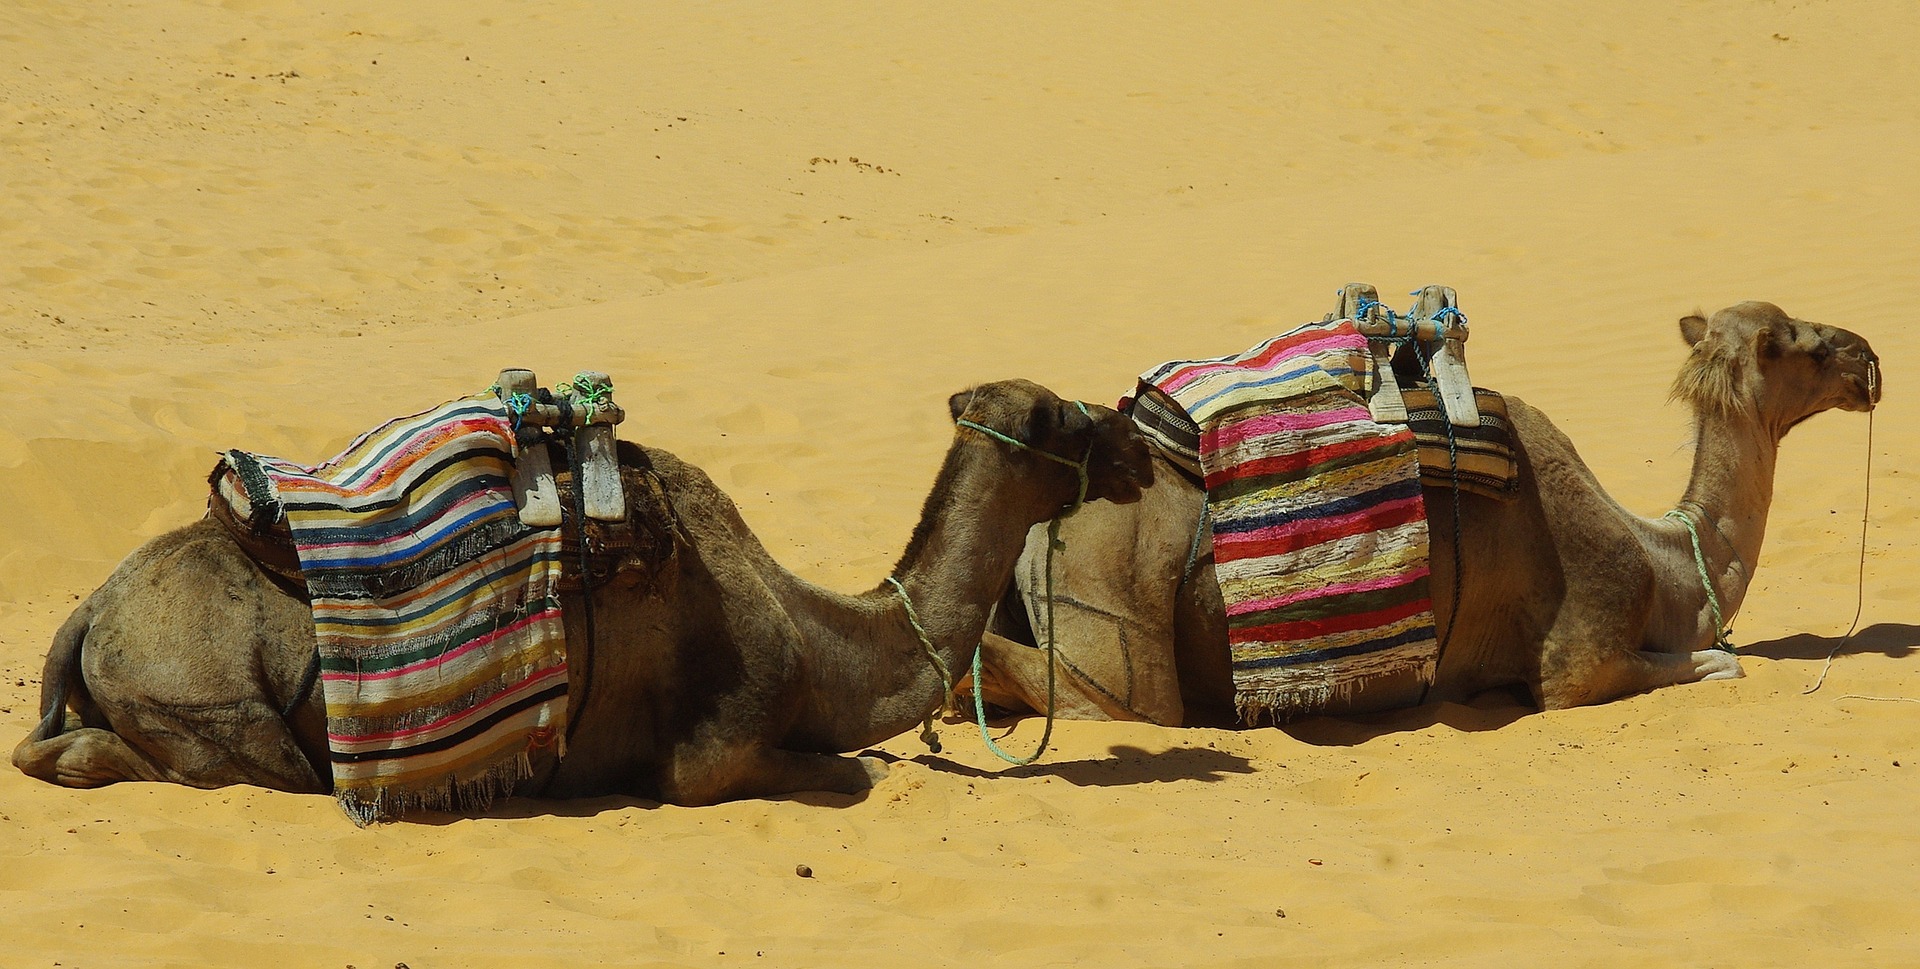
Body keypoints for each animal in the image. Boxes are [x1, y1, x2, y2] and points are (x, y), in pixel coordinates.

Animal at [11, 378, 1152, 809]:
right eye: (1069, 418)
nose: (1141, 439)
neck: (819, 638)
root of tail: (91, 611)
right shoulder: (711, 748)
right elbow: (847, 773)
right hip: (212, 702)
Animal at [983, 303, 1881, 725]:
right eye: (1803, 342)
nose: (1870, 355)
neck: (1665, 566)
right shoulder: (1576, 658)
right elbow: (1723, 664)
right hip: (1113, 606)